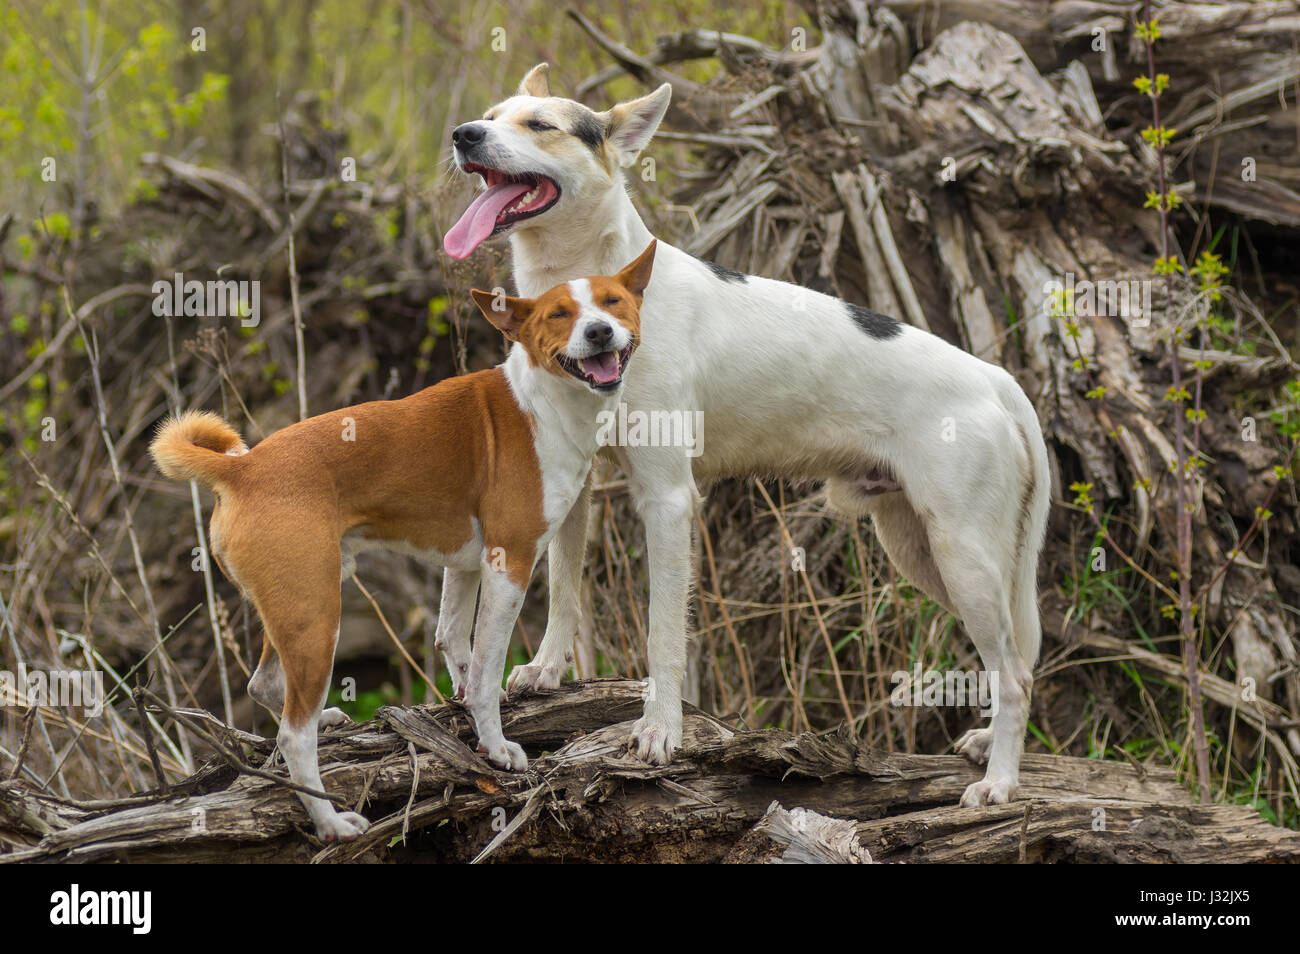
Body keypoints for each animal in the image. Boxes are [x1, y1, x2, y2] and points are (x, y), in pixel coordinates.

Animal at [152, 243, 655, 842]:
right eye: (559, 314)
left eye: (613, 302)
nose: (600, 332)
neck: (547, 399)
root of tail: (243, 469)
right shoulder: (510, 562)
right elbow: (486, 667)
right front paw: (496, 748)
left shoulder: (466, 565)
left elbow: (456, 645)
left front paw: (466, 714)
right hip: (317, 614)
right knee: (293, 735)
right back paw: (330, 822)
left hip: (297, 605)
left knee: (266, 687)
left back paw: (324, 723)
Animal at [444, 63, 1045, 805]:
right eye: (492, 114)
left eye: (539, 125)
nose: (463, 134)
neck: (588, 282)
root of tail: (995, 378)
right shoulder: (572, 491)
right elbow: (564, 591)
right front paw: (549, 671)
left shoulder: (668, 500)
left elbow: (664, 634)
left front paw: (661, 730)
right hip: (924, 553)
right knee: (1015, 662)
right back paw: (991, 746)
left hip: (964, 556)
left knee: (1014, 673)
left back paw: (1000, 782)